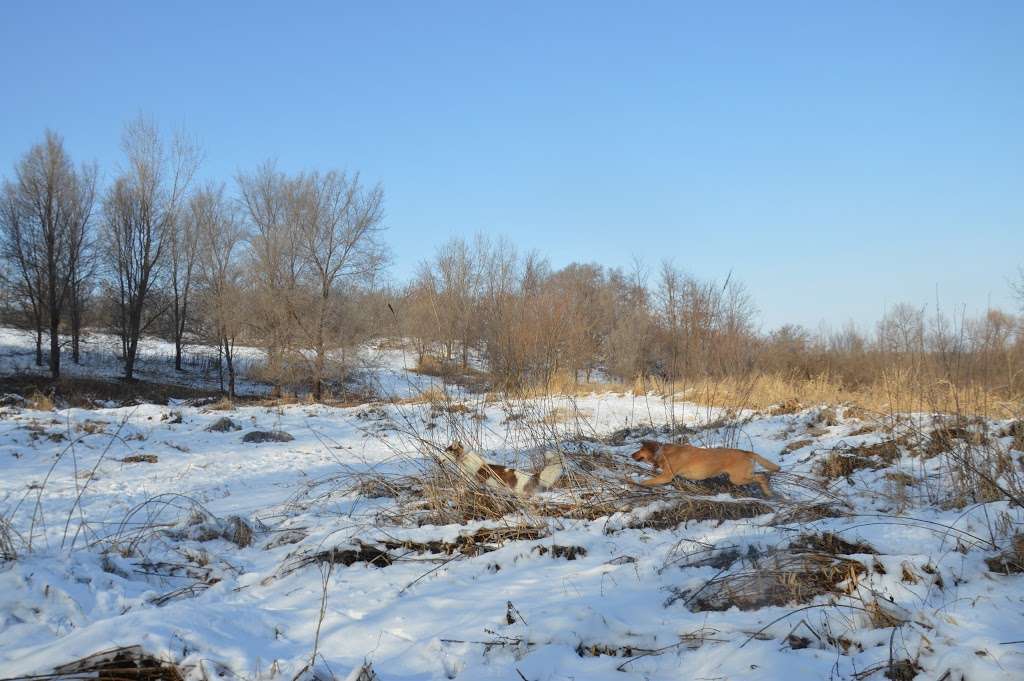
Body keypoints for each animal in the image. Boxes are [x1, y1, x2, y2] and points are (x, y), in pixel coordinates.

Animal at [626, 438, 778, 497]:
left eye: (640, 449)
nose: (631, 455)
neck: (661, 452)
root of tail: (745, 452)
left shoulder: (666, 476)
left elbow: (646, 481)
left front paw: (635, 484)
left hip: (737, 478)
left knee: (761, 477)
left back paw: (768, 493)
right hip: (739, 477)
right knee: (761, 477)